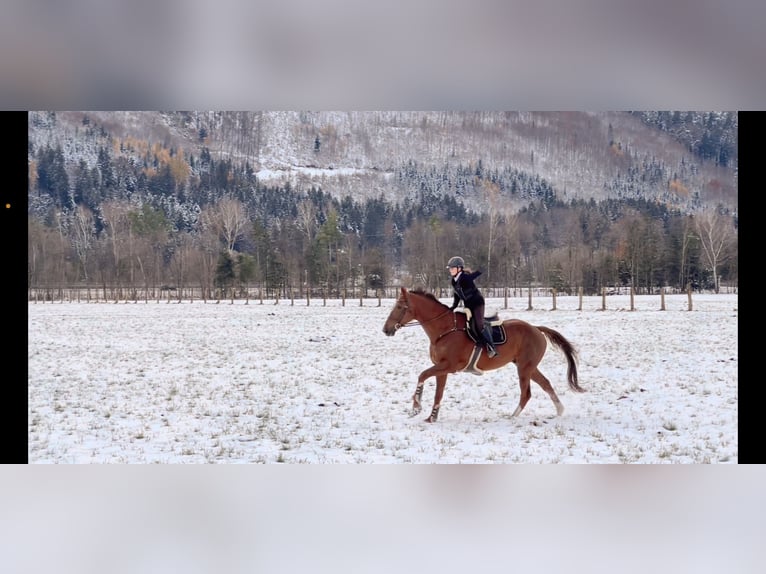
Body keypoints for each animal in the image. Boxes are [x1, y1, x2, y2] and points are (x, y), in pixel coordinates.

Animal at [380, 286, 584, 424]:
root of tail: (536, 328)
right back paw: (559, 410)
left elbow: (422, 375)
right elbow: (438, 393)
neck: (444, 329)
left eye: (400, 307)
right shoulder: (442, 369)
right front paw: (432, 417)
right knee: (545, 384)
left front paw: (416, 406)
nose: (385, 329)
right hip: (528, 366)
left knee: (526, 393)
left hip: (525, 368)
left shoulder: (448, 366)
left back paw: (513, 416)